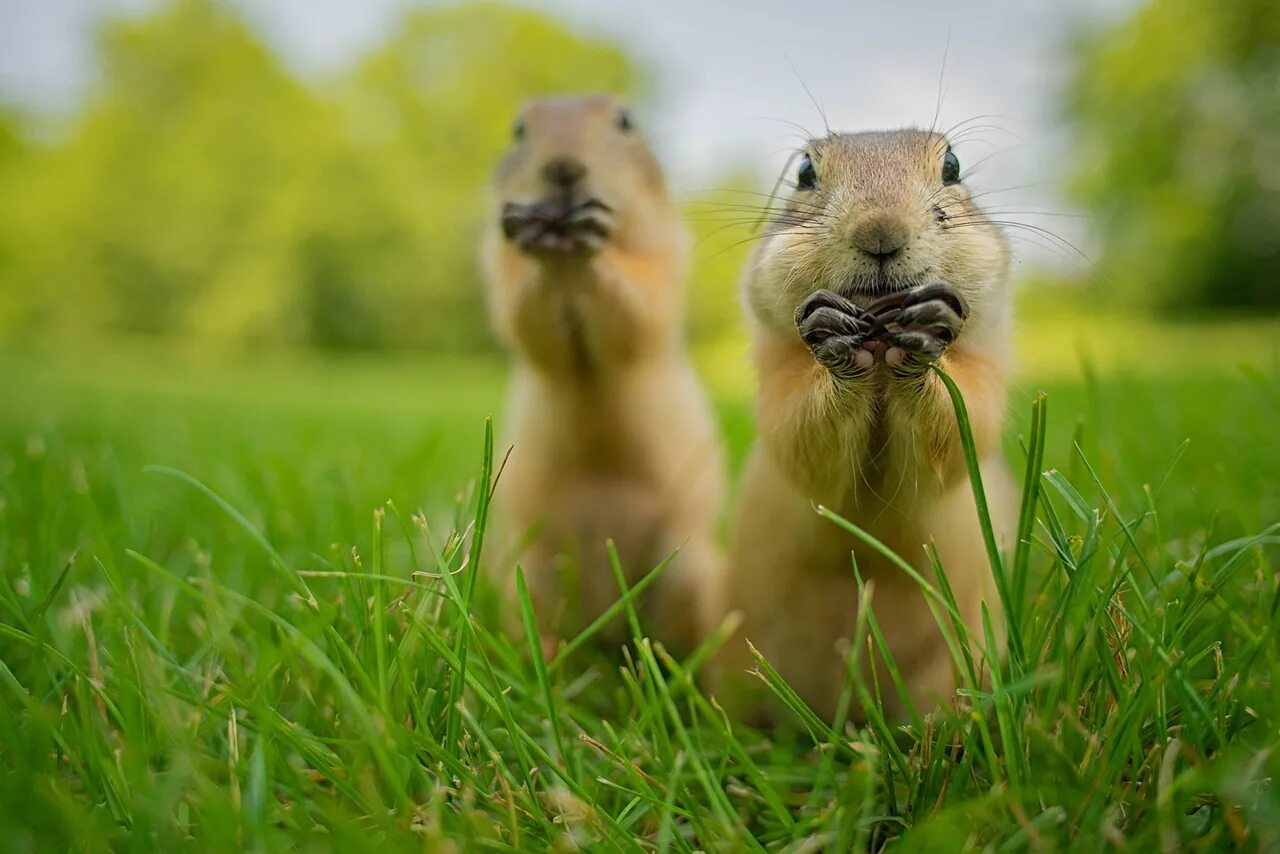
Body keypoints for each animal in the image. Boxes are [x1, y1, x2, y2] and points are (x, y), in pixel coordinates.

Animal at [481, 93, 727, 655]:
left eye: (625, 120)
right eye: (518, 128)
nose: (563, 168)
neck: (567, 264)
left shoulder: (664, 254)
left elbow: (640, 306)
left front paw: (594, 236)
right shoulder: (501, 267)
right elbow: (523, 313)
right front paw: (529, 230)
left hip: (689, 568)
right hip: (526, 573)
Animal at [716, 130, 1013, 727]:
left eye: (952, 165)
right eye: (805, 172)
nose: (880, 231)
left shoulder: (987, 362)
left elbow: (964, 425)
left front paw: (927, 332)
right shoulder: (776, 374)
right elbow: (800, 440)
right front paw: (832, 335)